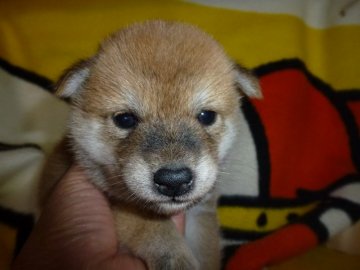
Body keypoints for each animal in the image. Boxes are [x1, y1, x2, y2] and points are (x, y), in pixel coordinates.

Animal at [39, 20, 262, 268]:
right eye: (125, 119)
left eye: (207, 116)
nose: (174, 181)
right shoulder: (119, 204)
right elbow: (151, 228)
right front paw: (176, 259)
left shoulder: (201, 213)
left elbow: (207, 250)